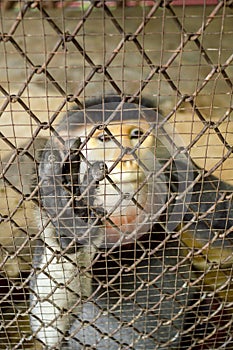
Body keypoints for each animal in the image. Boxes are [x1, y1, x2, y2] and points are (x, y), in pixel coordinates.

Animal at [30, 96, 233, 350]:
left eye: (137, 134)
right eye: (104, 138)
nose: (127, 158)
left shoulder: (195, 187)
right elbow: (49, 330)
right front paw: (71, 215)